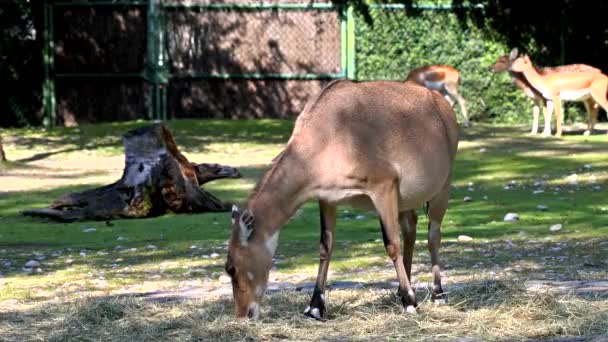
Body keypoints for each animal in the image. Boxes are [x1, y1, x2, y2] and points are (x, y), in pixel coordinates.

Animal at [223, 80, 456, 320]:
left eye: (232, 267)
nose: (242, 315)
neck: (327, 135)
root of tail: (440, 101)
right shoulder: (327, 197)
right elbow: (325, 246)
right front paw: (315, 307)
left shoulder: (383, 186)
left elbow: (392, 244)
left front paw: (410, 302)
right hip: (405, 201)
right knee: (410, 228)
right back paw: (401, 290)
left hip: (442, 186)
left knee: (433, 234)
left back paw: (437, 294)